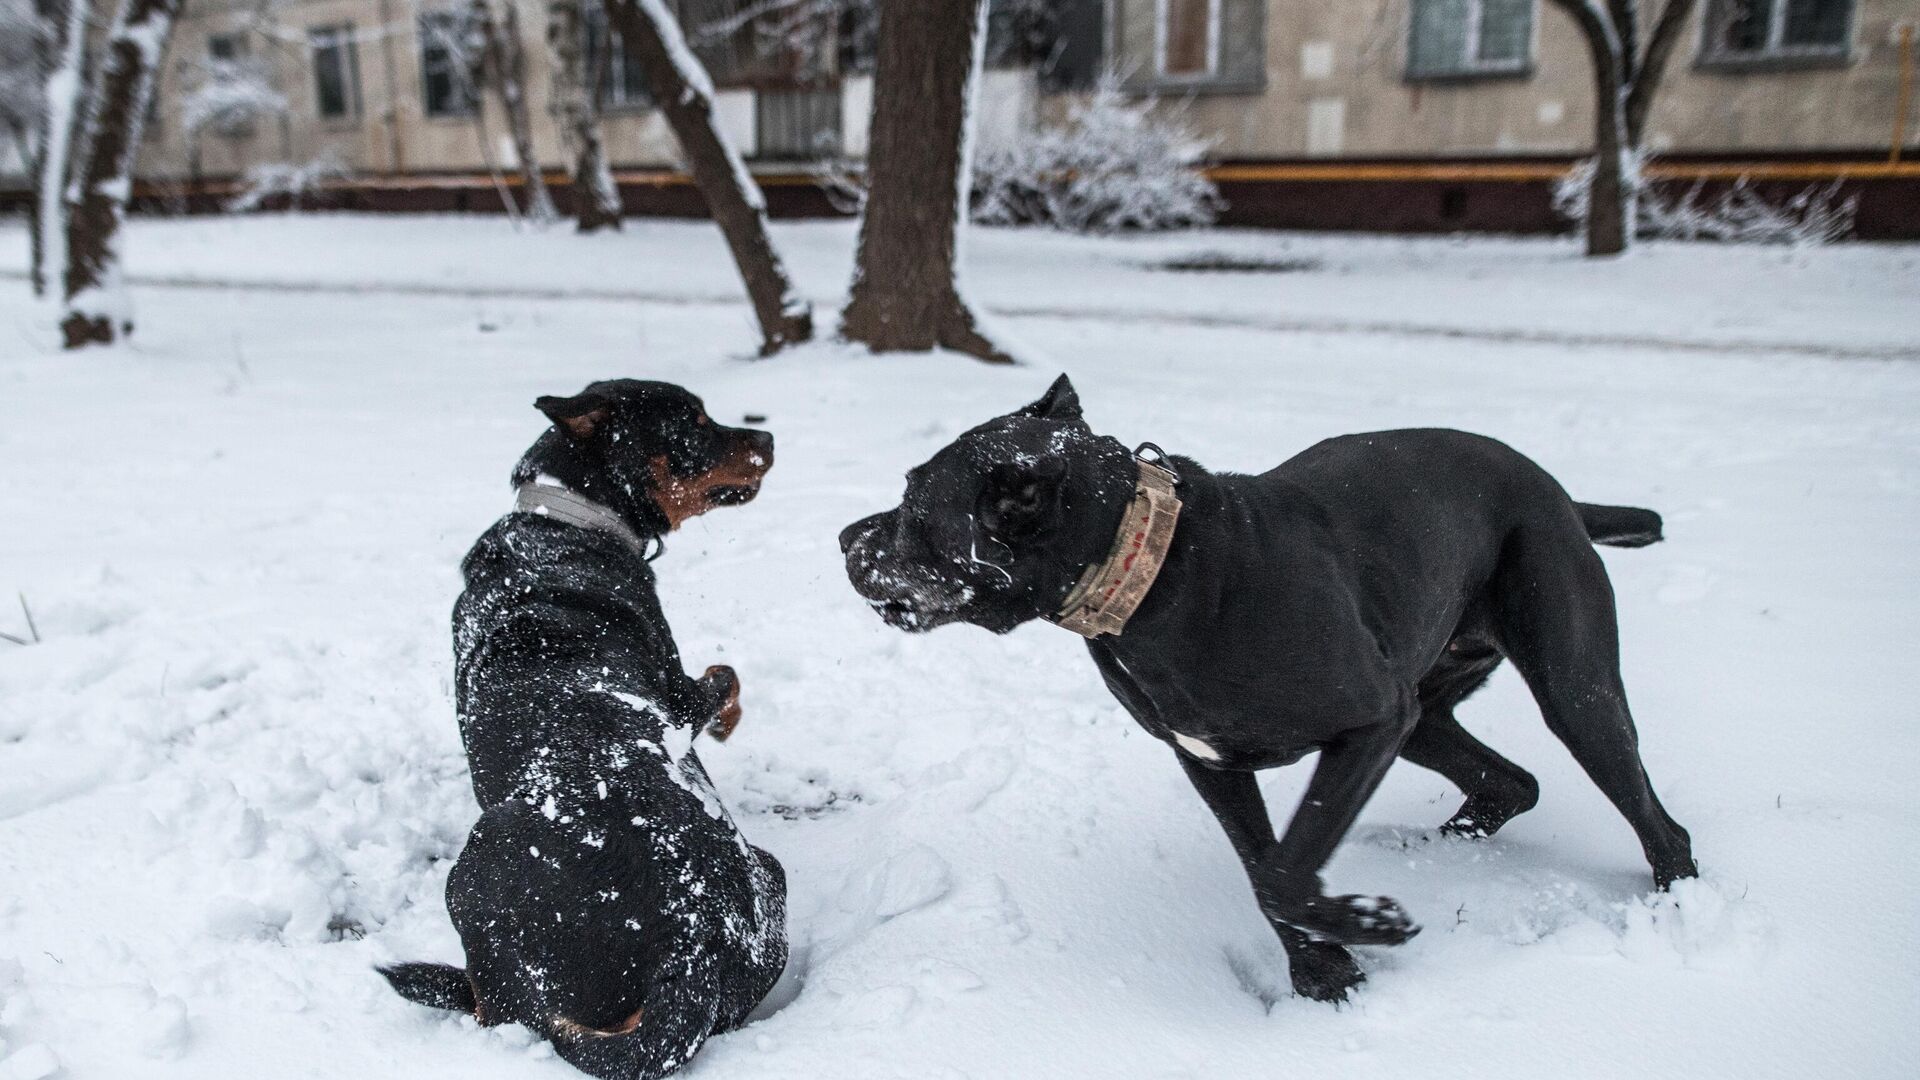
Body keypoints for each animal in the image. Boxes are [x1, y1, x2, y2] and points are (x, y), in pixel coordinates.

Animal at [378, 378, 783, 1076]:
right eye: (694, 421)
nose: (769, 437)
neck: (565, 520)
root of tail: (693, 952)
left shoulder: (680, 695)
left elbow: (724, 678)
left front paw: (727, 726)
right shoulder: (678, 695)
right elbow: (725, 677)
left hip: (472, 873)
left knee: (499, 1007)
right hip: (770, 871)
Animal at [840, 376, 1697, 999]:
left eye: (915, 505)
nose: (845, 536)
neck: (1152, 571)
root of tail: (1562, 496)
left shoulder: (1367, 723)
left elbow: (1286, 871)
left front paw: (1369, 925)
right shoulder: (1214, 761)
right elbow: (1265, 869)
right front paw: (1325, 970)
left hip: (1570, 690)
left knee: (1658, 823)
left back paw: (1682, 909)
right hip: (1423, 713)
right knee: (1511, 782)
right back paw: (1435, 851)